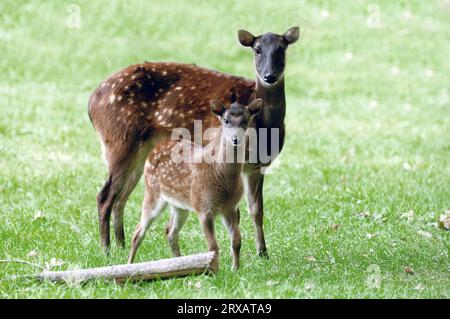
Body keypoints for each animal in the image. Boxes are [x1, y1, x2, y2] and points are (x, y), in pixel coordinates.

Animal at [127, 98, 264, 270]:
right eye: (226, 120)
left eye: (246, 120)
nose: (235, 139)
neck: (220, 174)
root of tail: (154, 149)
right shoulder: (203, 207)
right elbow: (213, 246)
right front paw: (215, 270)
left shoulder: (230, 207)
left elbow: (236, 241)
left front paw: (235, 269)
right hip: (152, 192)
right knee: (138, 231)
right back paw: (129, 265)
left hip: (180, 205)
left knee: (170, 231)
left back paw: (179, 264)